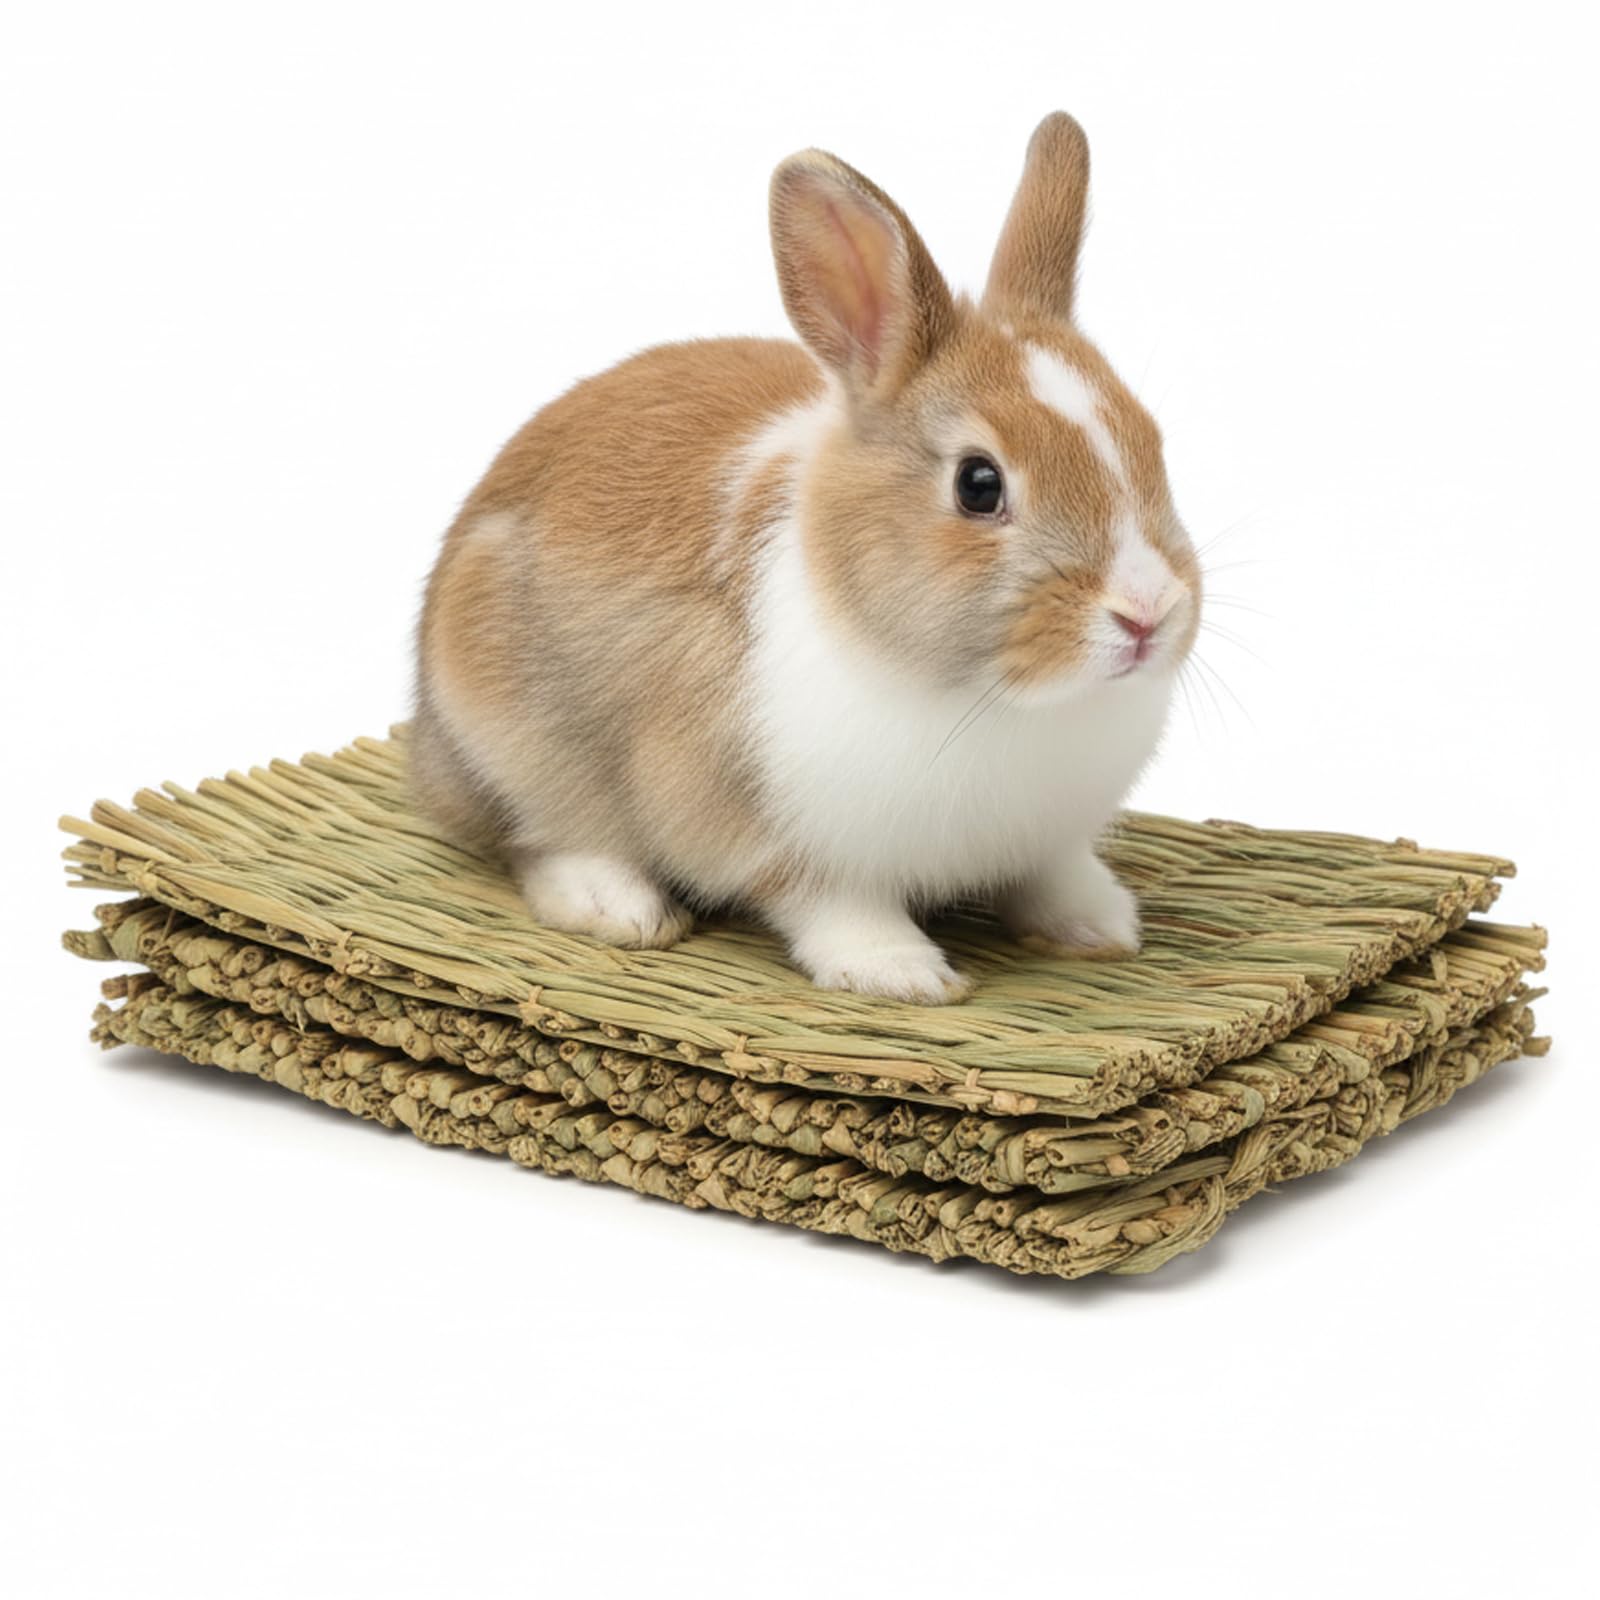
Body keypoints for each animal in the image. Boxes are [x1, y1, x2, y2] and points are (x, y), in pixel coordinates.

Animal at [412, 111, 1201, 1004]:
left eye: (1151, 443)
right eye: (978, 484)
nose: (1147, 612)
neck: (1002, 701)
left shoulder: (1044, 840)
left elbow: (1051, 875)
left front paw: (1101, 926)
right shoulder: (767, 825)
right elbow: (829, 901)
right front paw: (901, 973)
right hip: (509, 735)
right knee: (535, 836)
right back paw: (620, 907)